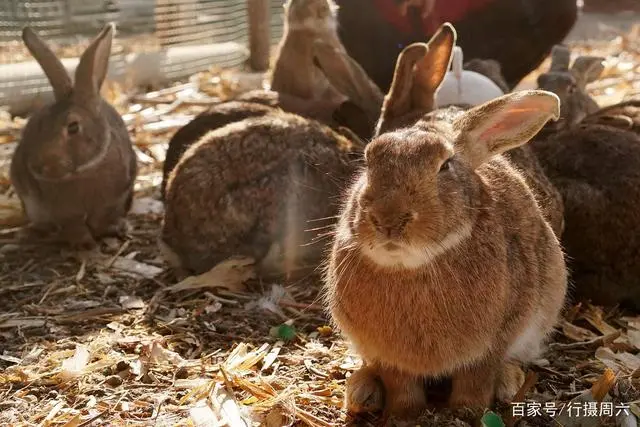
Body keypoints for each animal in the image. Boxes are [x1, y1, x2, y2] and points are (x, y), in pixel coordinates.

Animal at [10, 24, 138, 251]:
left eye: (73, 127)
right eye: (36, 123)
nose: (38, 167)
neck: (85, 171)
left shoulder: (112, 201)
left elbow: (101, 219)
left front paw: (111, 230)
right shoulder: (64, 211)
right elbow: (74, 225)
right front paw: (84, 243)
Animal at [324, 21, 564, 420]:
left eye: (445, 166)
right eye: (369, 160)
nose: (388, 220)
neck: (411, 265)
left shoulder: (491, 344)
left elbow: (476, 379)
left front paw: (467, 412)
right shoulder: (391, 358)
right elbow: (400, 384)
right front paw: (402, 415)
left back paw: (508, 383)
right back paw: (361, 391)